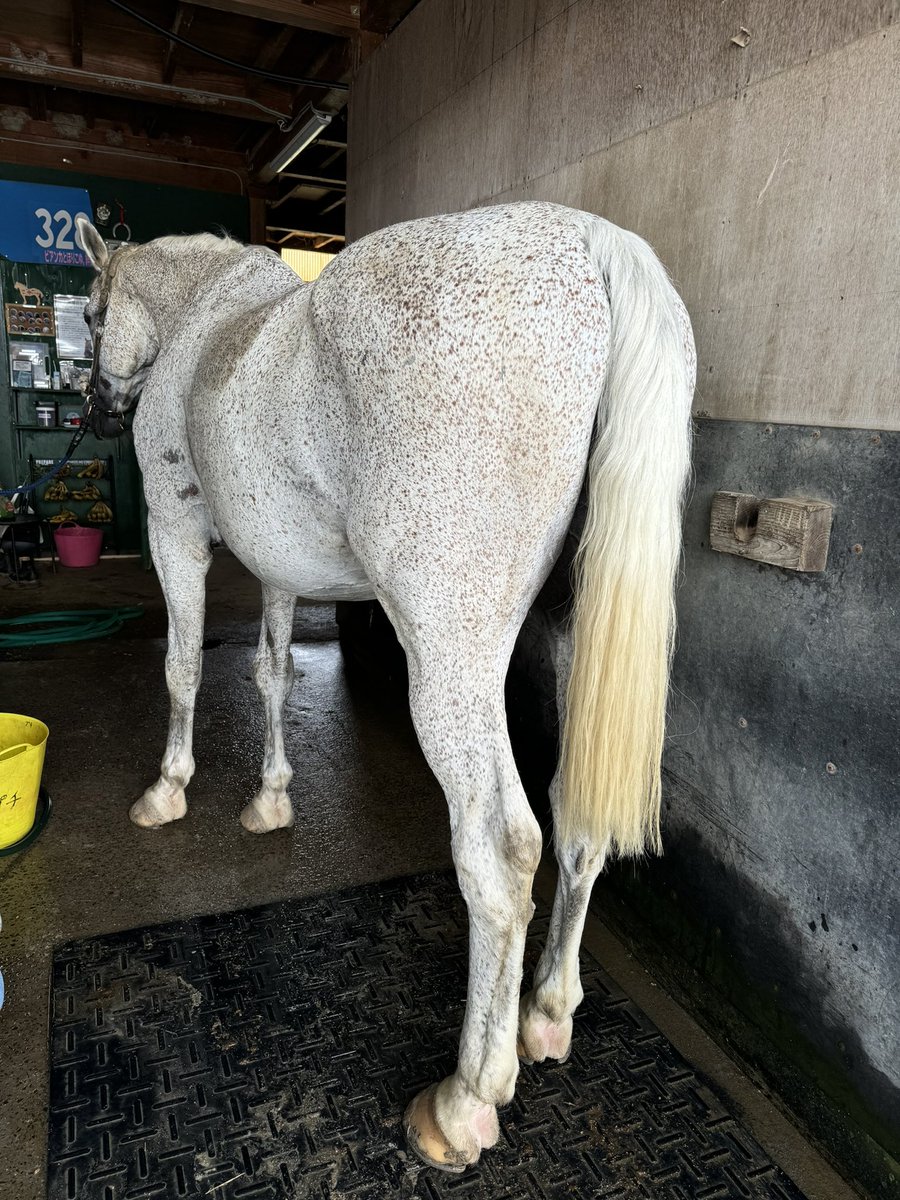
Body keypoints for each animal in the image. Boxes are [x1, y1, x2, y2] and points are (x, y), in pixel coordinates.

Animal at [74, 202, 694, 1174]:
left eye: (91, 315)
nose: (99, 410)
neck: (204, 324)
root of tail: (591, 244)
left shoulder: (179, 533)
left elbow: (182, 668)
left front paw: (168, 791)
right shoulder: (277, 566)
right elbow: (271, 671)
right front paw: (270, 801)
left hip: (448, 656)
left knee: (503, 848)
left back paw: (466, 1100)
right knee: (576, 814)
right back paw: (547, 1015)